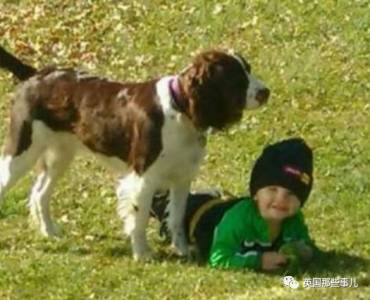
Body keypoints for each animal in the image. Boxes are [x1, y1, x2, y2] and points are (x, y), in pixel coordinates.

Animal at [0, 45, 268, 258]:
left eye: (248, 69)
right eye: (235, 77)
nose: (266, 92)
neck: (179, 109)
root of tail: (34, 75)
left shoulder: (182, 177)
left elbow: (177, 217)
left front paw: (182, 250)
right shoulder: (144, 177)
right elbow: (138, 218)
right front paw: (142, 254)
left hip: (60, 154)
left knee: (40, 193)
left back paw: (50, 232)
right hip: (21, 150)